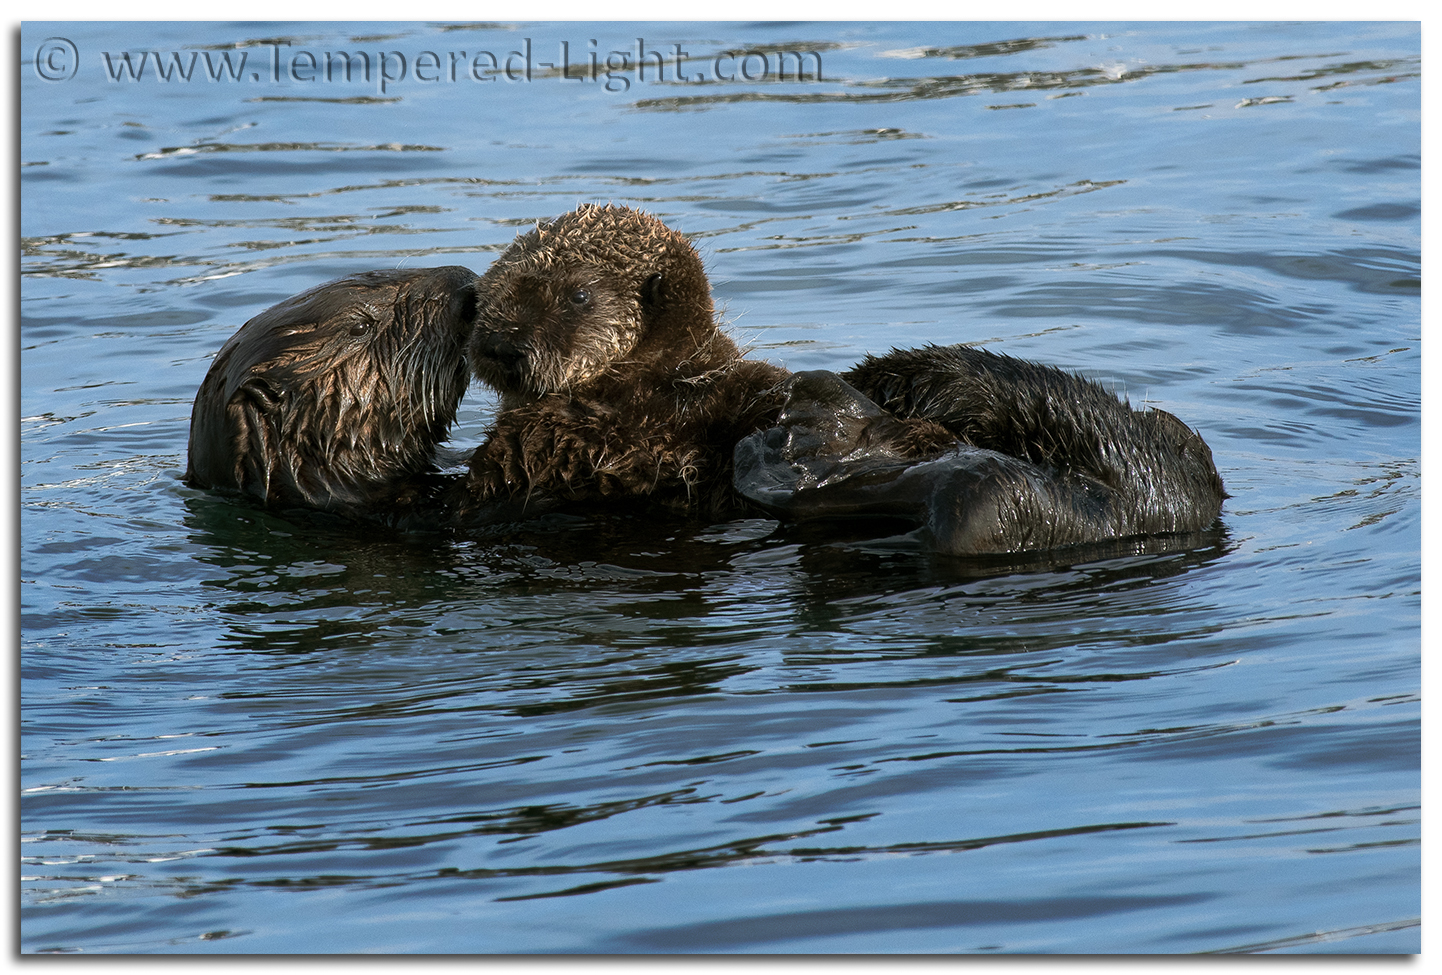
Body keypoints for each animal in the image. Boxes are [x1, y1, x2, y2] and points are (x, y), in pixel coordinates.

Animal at [456, 203, 1224, 555]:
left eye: (577, 295)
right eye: (490, 291)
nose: (498, 345)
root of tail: (1154, 510)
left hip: (1000, 500)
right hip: (1048, 484)